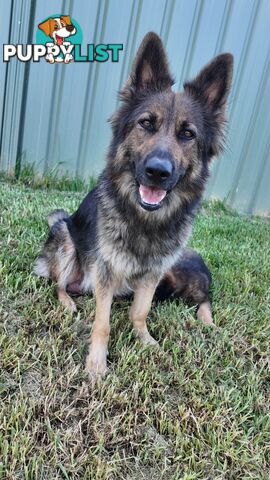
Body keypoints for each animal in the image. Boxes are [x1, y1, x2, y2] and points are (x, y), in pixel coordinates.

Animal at [33, 32, 232, 378]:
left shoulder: (154, 274)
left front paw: (146, 341)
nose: (157, 171)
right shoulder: (106, 272)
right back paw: (68, 302)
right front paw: (97, 364)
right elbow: (102, 323)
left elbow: (140, 312)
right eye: (146, 123)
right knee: (59, 284)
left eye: (188, 134)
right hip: (66, 237)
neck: (145, 221)